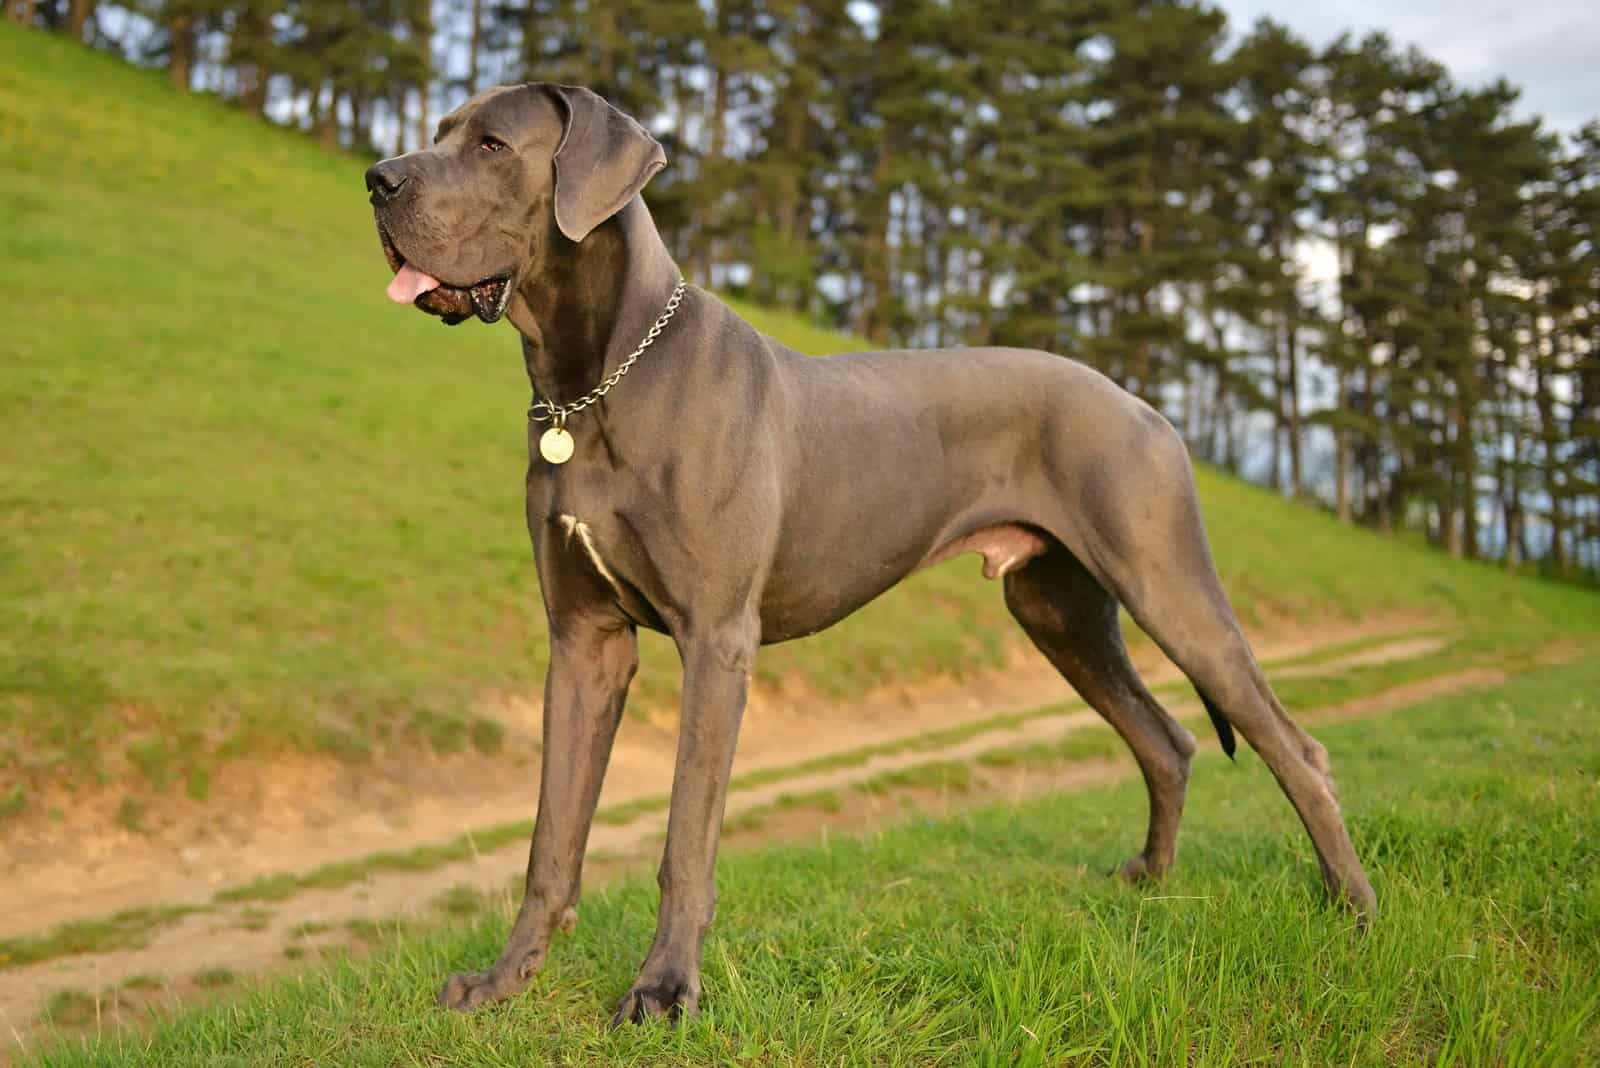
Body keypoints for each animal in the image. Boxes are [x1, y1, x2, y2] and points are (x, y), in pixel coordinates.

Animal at [366, 81, 1376, 1023]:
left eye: (493, 145)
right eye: (443, 129)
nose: (378, 179)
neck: (597, 378)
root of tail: (1143, 404)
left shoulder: (716, 642)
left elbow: (685, 838)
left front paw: (664, 992)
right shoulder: (584, 642)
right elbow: (551, 839)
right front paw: (504, 982)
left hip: (1168, 583)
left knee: (1296, 747)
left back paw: (1354, 909)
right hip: (1058, 611)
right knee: (1167, 740)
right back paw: (1153, 886)